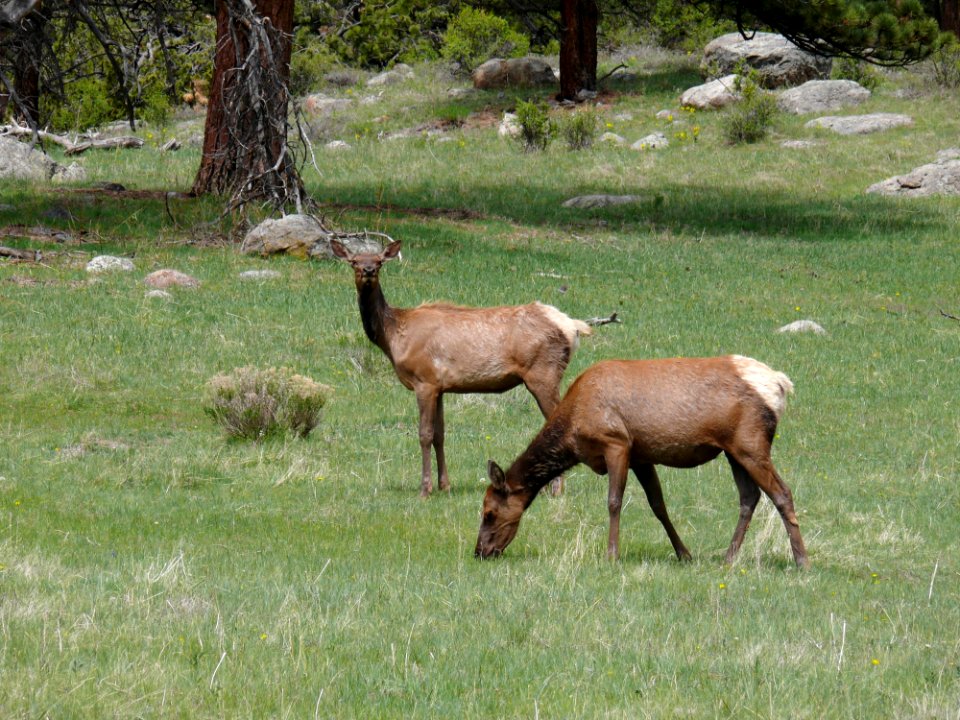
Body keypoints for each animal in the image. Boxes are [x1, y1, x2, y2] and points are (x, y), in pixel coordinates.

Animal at [332, 239, 592, 498]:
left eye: (379, 261)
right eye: (354, 261)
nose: (368, 270)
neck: (393, 336)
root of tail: (573, 327)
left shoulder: (424, 380)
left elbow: (424, 434)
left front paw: (425, 489)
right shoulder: (438, 385)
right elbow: (439, 435)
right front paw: (444, 485)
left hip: (543, 373)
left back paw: (556, 489)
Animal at [472, 354, 808, 568]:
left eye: (489, 513)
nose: (480, 552)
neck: (572, 432)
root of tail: (780, 384)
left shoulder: (616, 442)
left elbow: (613, 501)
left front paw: (611, 555)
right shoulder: (641, 456)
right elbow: (658, 505)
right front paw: (684, 554)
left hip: (751, 443)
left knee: (782, 493)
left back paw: (802, 560)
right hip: (733, 449)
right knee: (749, 497)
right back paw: (728, 557)